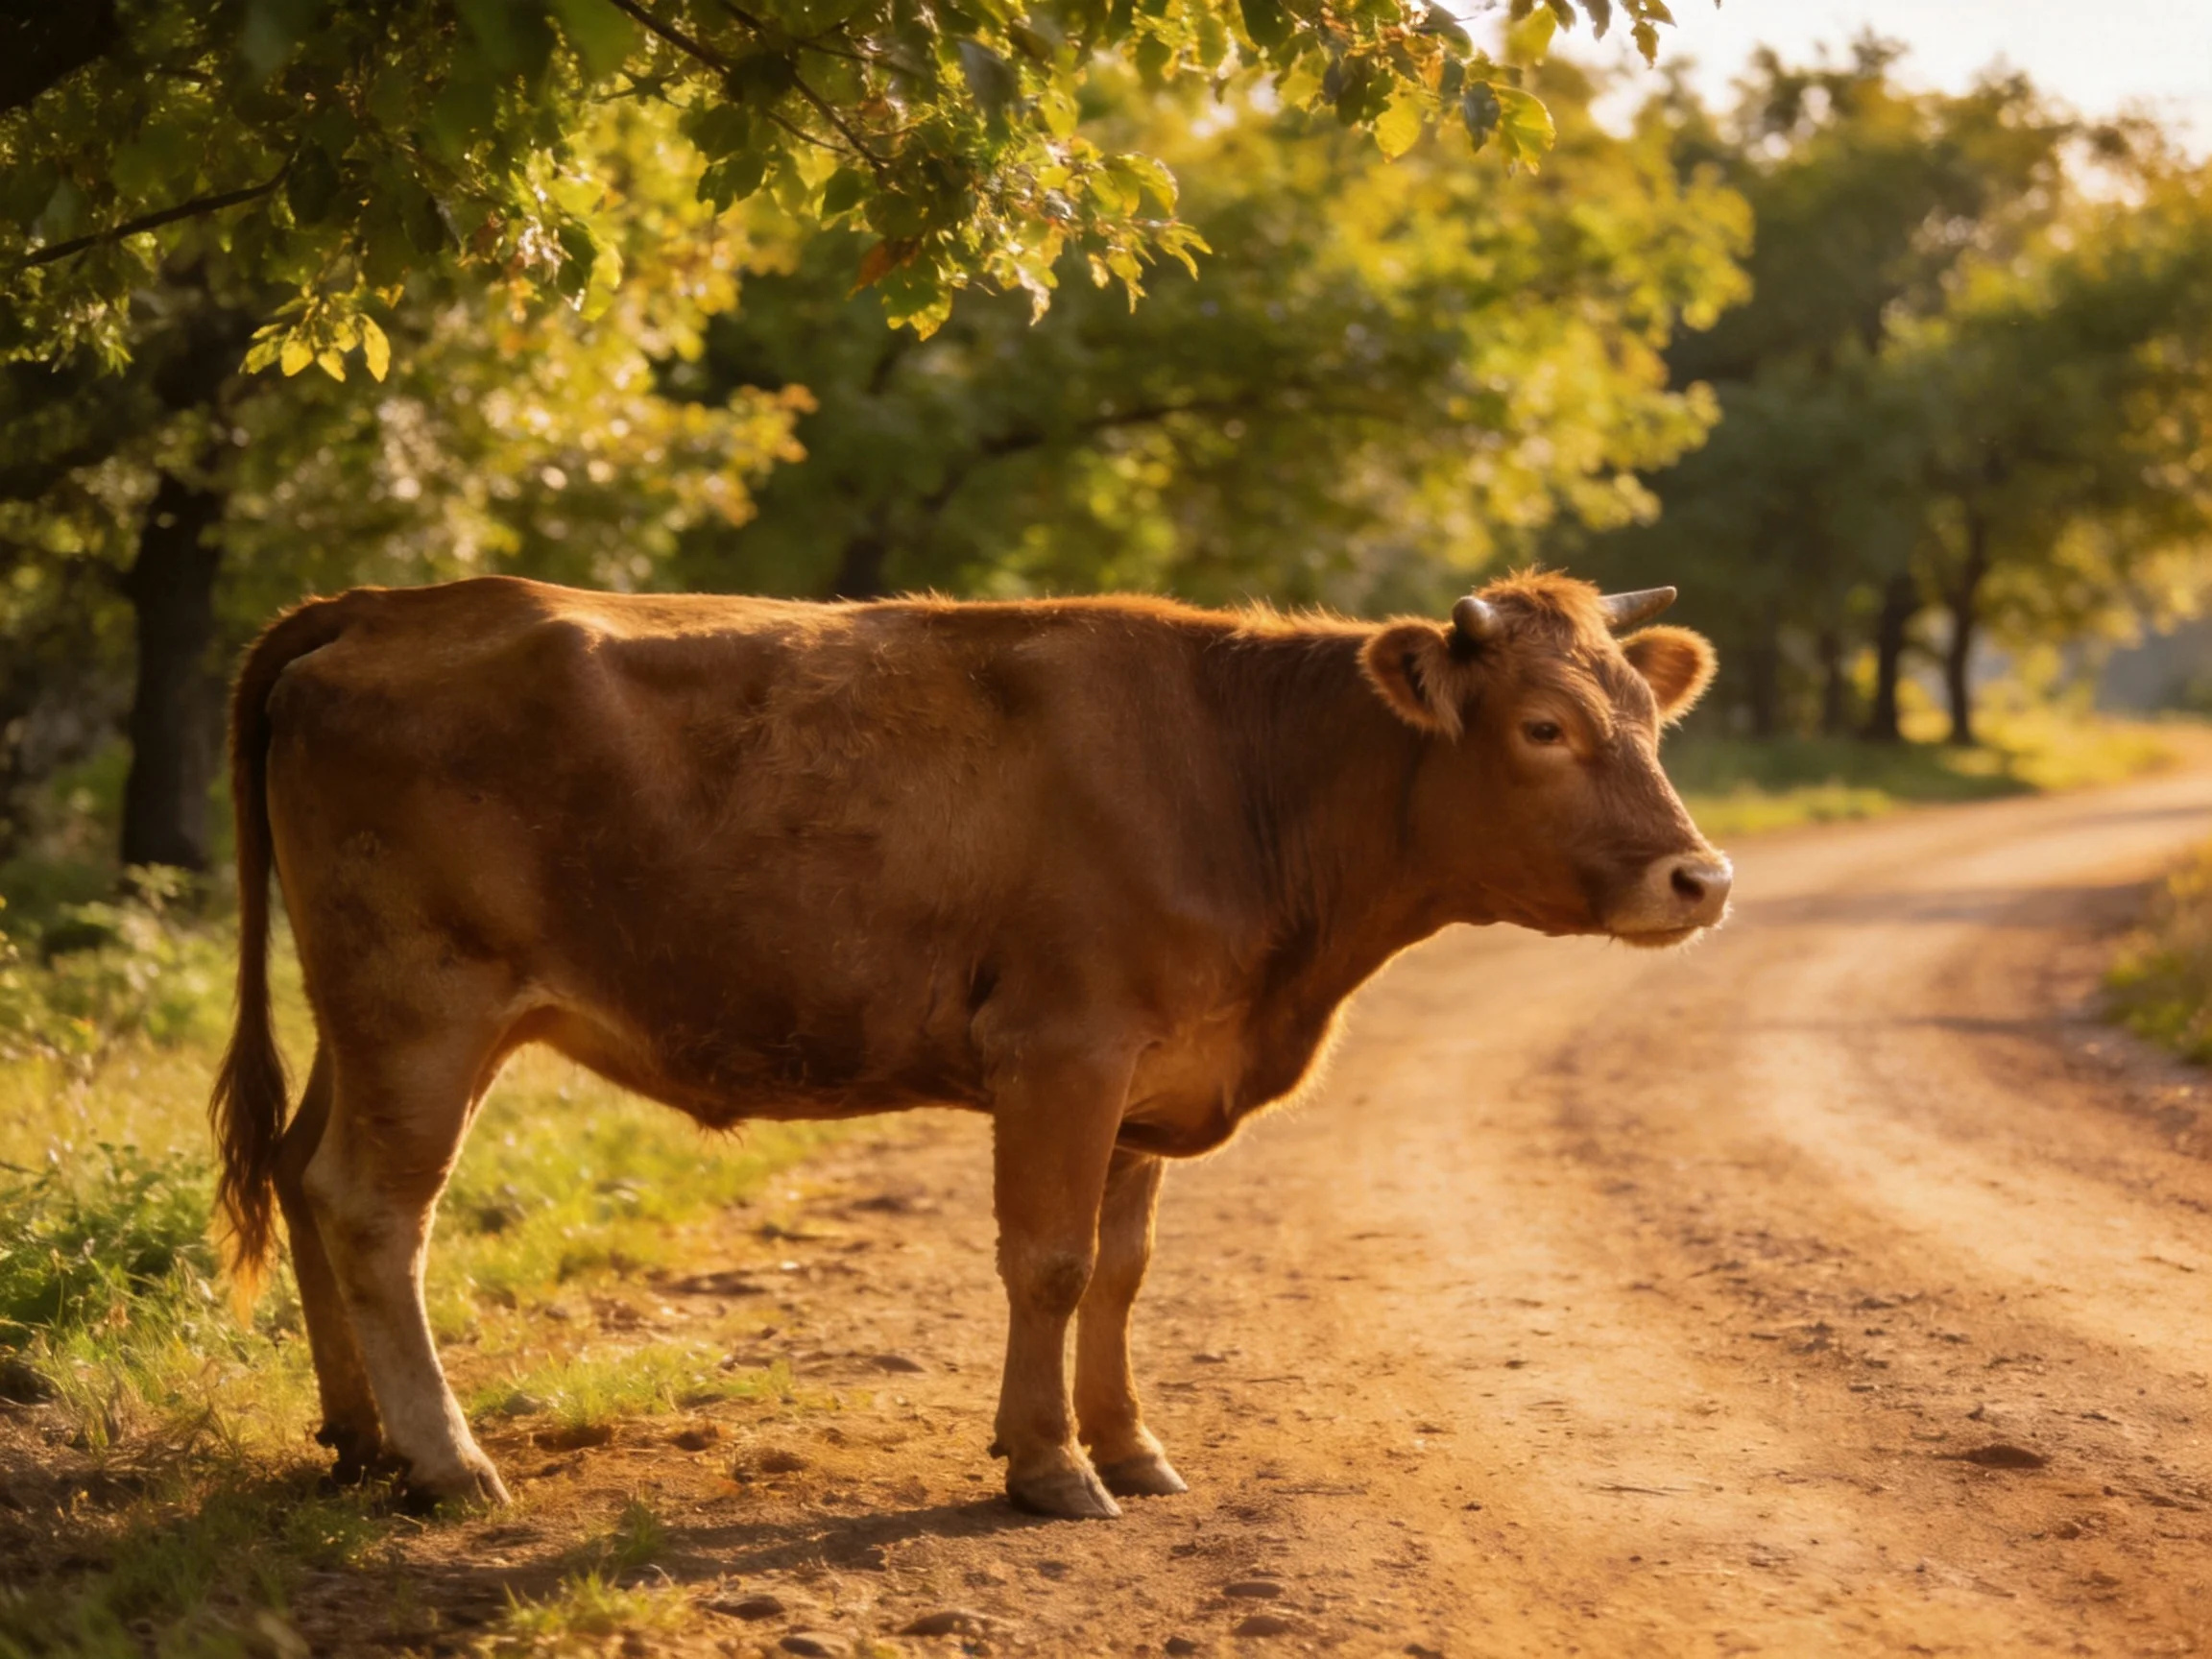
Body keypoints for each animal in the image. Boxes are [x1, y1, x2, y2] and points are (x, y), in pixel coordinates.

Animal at [209, 570, 1727, 1520]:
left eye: (1653, 720)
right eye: (1544, 726)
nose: (1700, 879)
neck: (1242, 778)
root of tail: (384, 607)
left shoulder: (1152, 1073)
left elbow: (1121, 1270)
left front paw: (1130, 1443)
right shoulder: (1064, 1050)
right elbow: (1048, 1263)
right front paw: (1051, 1469)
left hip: (367, 1014)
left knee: (299, 1173)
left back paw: (359, 1442)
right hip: (423, 1001)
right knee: (373, 1208)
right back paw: (446, 1462)